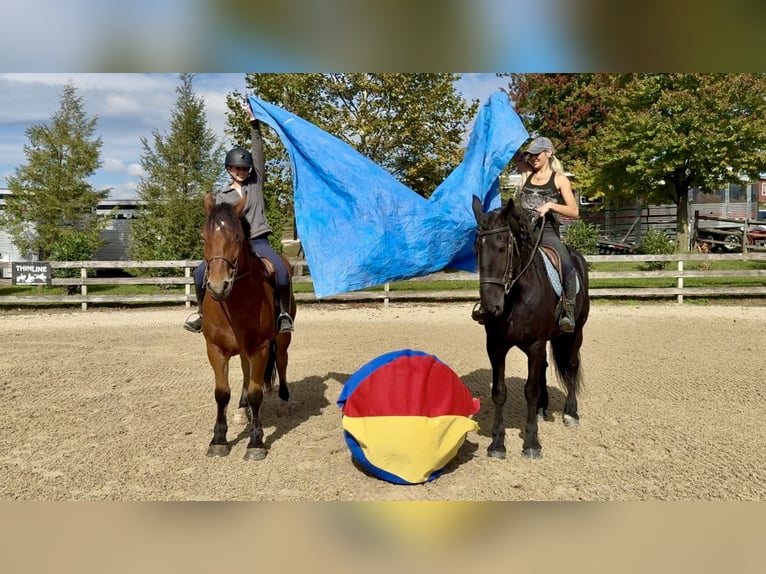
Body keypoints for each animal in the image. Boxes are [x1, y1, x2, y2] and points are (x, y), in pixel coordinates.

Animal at [200, 191, 296, 460]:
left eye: (236, 237)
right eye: (203, 237)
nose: (218, 286)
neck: (234, 303)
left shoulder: (261, 349)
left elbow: (256, 393)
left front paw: (256, 442)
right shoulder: (215, 349)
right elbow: (222, 393)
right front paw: (218, 440)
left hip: (281, 342)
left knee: (282, 364)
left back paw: (284, 403)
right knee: (245, 373)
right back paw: (243, 411)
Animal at [471, 195, 590, 459]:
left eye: (502, 247)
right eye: (477, 249)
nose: (489, 309)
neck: (517, 295)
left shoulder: (535, 344)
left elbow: (530, 390)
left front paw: (532, 442)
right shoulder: (495, 346)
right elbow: (499, 391)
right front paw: (497, 444)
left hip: (575, 332)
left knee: (571, 365)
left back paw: (571, 413)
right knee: (545, 367)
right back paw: (541, 409)